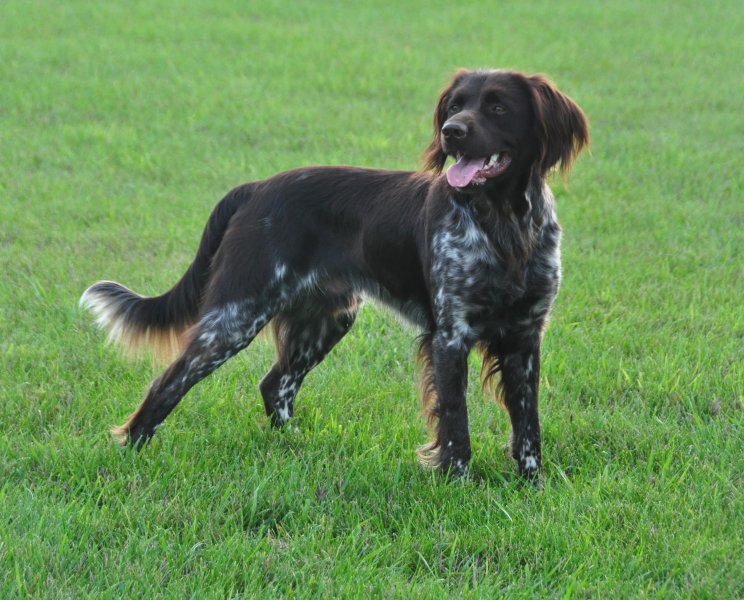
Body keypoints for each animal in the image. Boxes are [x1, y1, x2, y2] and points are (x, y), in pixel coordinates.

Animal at [80, 69, 588, 482]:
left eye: (498, 106)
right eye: (455, 105)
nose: (452, 132)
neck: (505, 225)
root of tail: (256, 189)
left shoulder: (526, 336)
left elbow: (528, 425)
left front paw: (532, 485)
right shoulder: (450, 336)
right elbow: (455, 425)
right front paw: (456, 484)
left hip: (326, 319)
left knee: (275, 385)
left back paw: (294, 447)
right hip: (235, 316)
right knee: (168, 383)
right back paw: (133, 449)